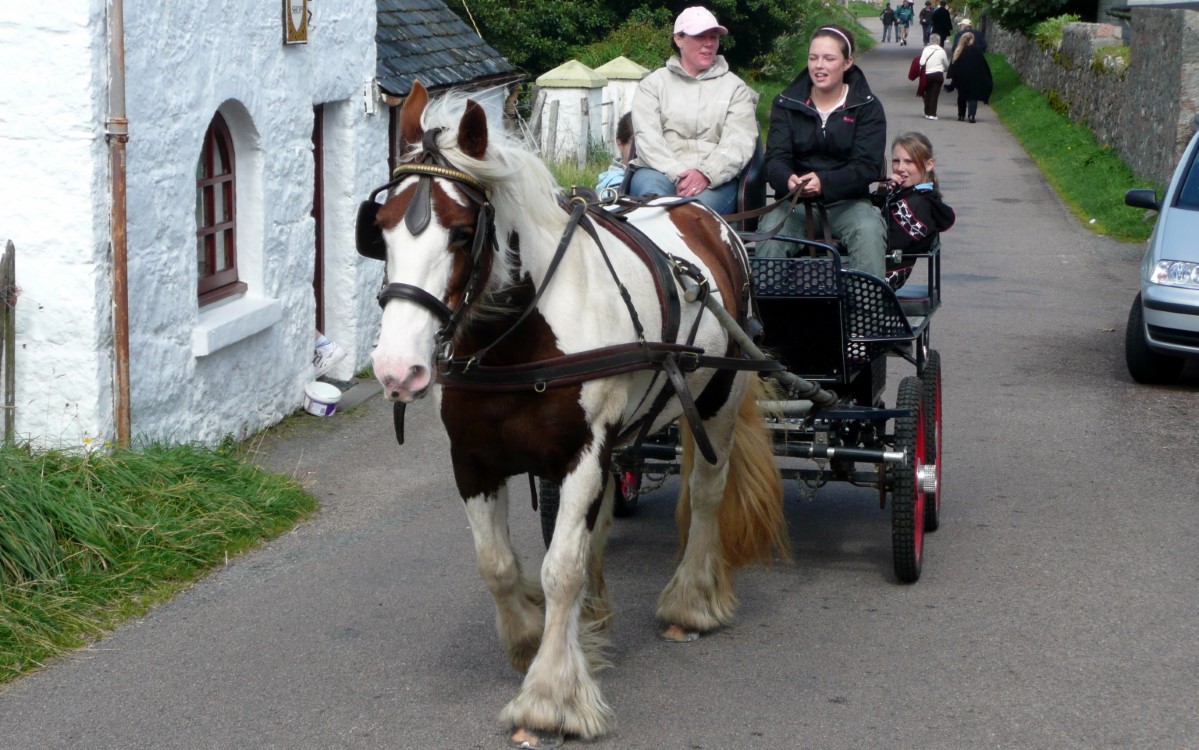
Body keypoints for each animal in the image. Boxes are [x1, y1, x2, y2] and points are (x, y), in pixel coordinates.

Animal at [354, 79, 786, 742]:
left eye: (461, 232)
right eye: (379, 228)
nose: (398, 370)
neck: (519, 336)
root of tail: (703, 214)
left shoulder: (583, 452)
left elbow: (560, 568)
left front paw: (551, 696)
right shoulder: (473, 458)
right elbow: (499, 564)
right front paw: (530, 640)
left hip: (716, 395)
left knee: (708, 492)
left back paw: (692, 598)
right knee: (603, 517)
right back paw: (598, 617)